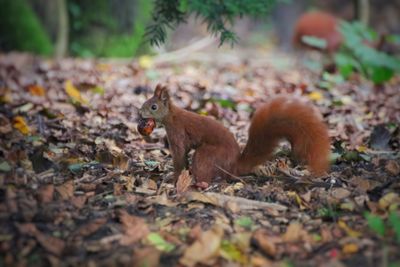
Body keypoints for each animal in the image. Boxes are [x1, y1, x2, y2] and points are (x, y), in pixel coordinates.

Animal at [139, 85, 330, 185]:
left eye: (153, 106)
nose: (140, 113)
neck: (171, 116)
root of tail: (234, 166)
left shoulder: (177, 133)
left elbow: (179, 158)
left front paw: (174, 178)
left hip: (206, 155)